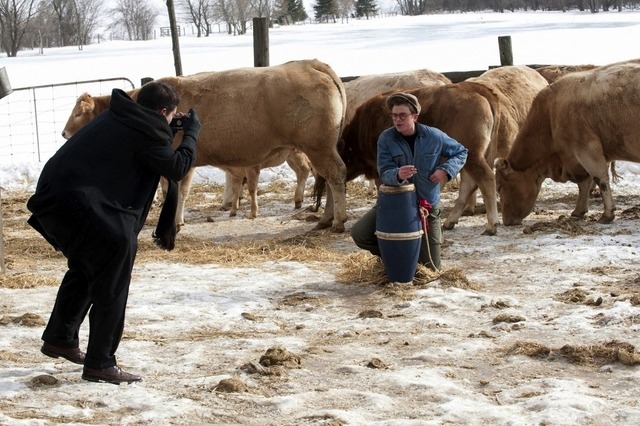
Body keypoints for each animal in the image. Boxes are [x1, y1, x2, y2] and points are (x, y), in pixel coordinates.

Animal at [62, 58, 348, 231]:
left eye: (77, 114)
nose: (64, 133)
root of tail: (309, 64)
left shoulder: (181, 161)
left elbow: (180, 192)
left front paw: (176, 222)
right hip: (321, 148)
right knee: (329, 178)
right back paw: (326, 218)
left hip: (318, 147)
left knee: (335, 175)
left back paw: (337, 221)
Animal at [332, 65, 548, 235]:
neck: (364, 125)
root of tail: (478, 90)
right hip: (470, 157)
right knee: (469, 184)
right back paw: (450, 221)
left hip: (472, 156)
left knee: (485, 179)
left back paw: (491, 225)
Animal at [496, 60, 640, 226]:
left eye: (499, 188)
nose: (506, 221)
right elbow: (585, 183)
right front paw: (579, 210)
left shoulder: (587, 148)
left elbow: (599, 179)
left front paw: (607, 214)